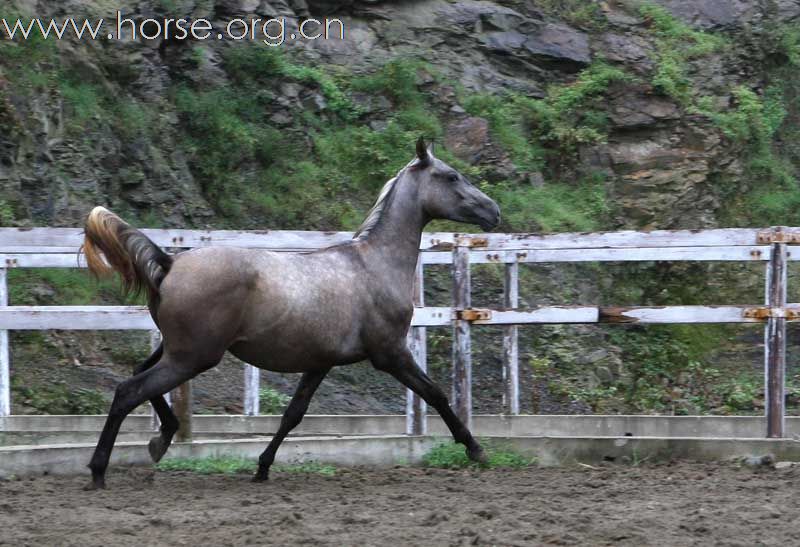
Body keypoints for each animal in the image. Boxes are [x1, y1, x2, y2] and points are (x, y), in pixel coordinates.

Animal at [84, 139, 504, 490]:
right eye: (451, 176)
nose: (494, 211)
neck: (374, 265)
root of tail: (169, 263)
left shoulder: (320, 363)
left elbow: (293, 414)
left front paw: (262, 467)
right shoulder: (390, 354)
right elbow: (436, 394)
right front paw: (476, 449)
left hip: (177, 350)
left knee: (139, 377)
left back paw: (161, 439)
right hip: (193, 357)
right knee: (129, 391)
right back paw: (99, 471)